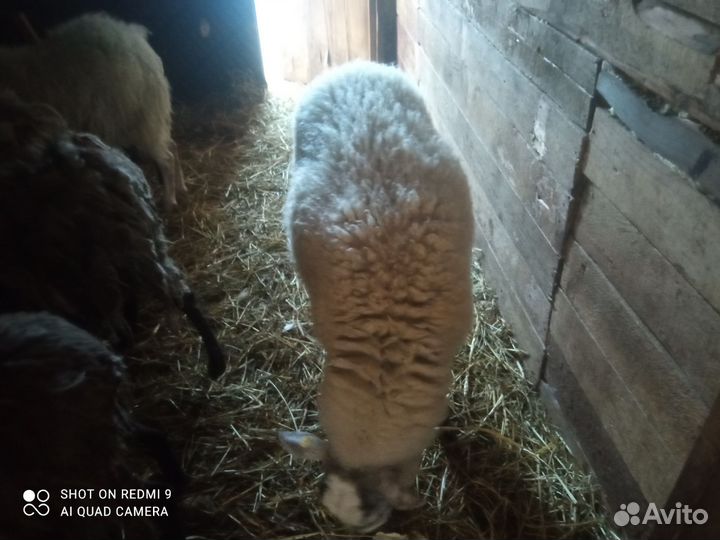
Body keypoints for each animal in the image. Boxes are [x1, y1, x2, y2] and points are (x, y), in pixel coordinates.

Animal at [0, 12, 184, 210]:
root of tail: (139, 40)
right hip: (153, 117)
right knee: (172, 145)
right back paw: (181, 187)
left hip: (141, 119)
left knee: (166, 158)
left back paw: (169, 202)